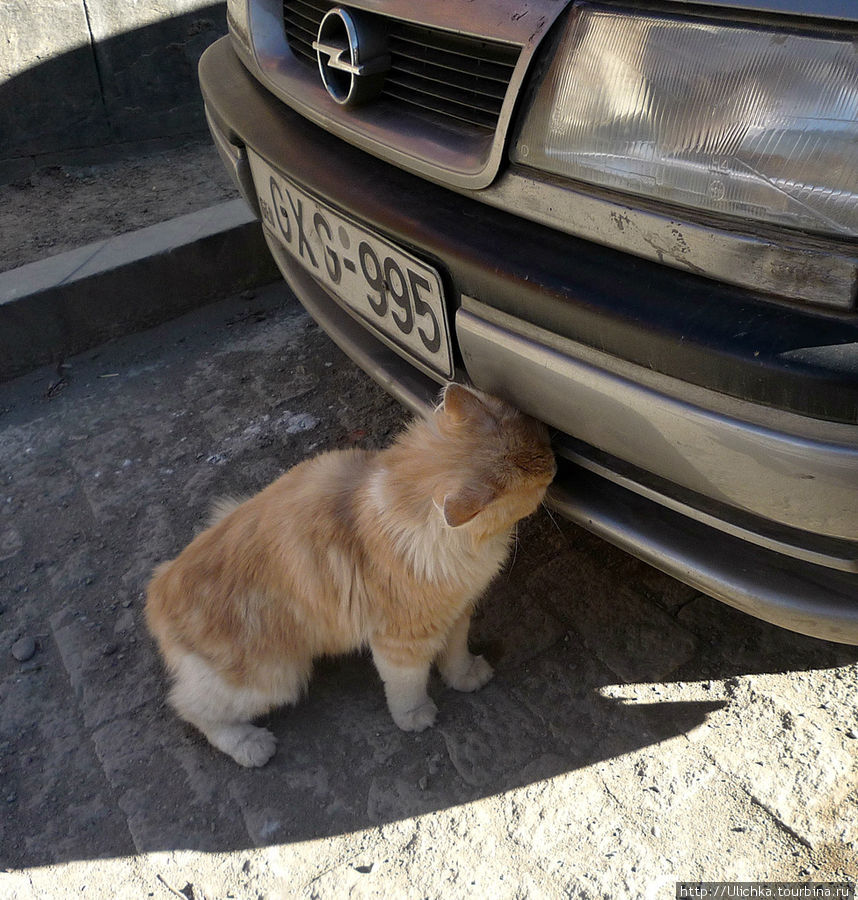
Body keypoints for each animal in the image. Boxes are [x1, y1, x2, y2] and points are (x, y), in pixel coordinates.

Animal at [147, 384, 556, 768]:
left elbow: (455, 653)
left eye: (542, 444)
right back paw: (251, 745)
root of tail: (157, 589)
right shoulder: (402, 638)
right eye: (539, 482)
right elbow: (406, 685)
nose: (554, 464)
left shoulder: (455, 612)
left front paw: (466, 677)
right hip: (274, 676)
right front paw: (415, 716)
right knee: (190, 707)